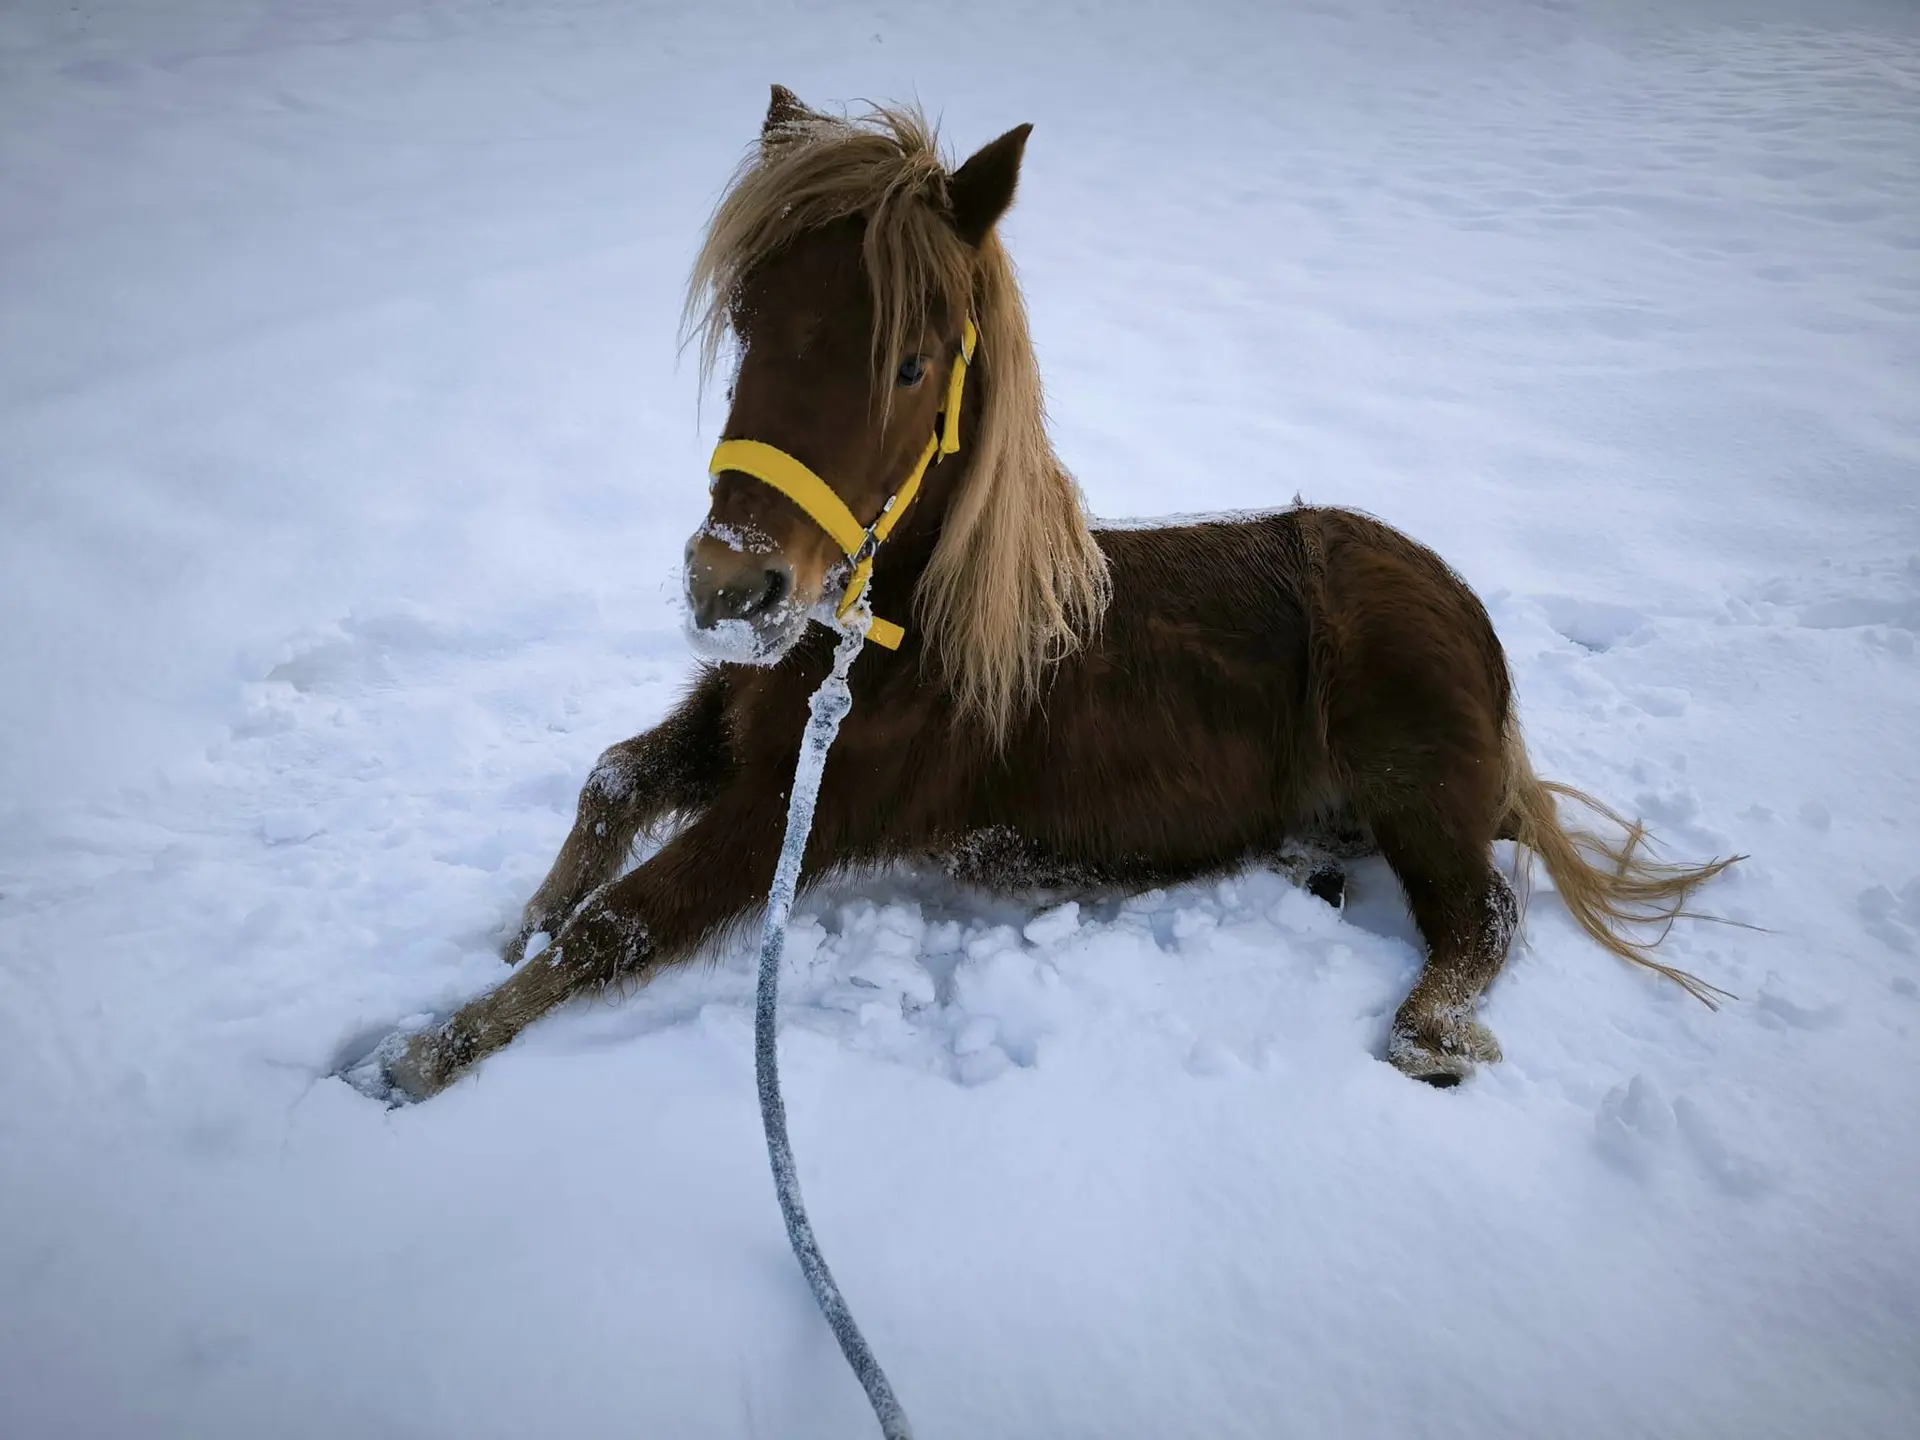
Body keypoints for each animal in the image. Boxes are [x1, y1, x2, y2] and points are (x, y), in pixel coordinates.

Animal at [374, 90, 1743, 1105]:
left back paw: (1427, 1036)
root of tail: (1459, 604)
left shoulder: (800, 812)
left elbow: (621, 927)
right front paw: (518, 924)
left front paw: (418, 1057)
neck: (887, 637)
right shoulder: (741, 721)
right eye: (749, 326)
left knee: (1485, 914)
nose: (729, 587)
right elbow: (611, 781)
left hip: (1418, 784)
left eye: (911, 364)